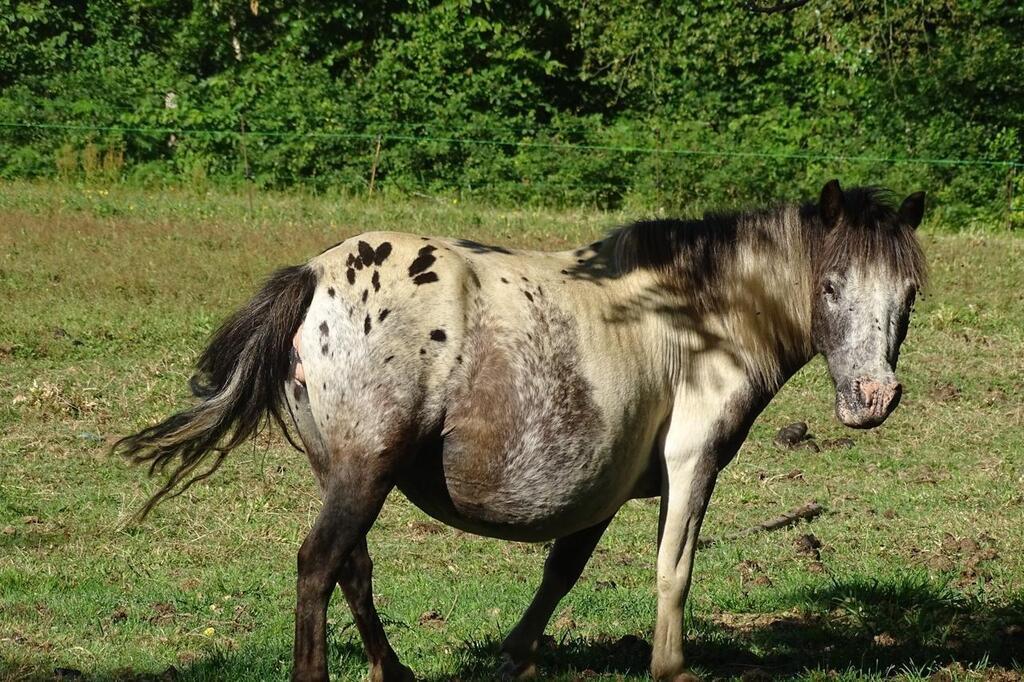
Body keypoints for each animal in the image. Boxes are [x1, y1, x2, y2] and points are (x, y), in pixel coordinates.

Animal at [117, 180, 929, 679]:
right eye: (830, 286)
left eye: (909, 294)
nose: (873, 397)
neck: (700, 317)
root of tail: (315, 275)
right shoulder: (692, 460)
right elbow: (674, 570)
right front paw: (671, 667)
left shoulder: (607, 484)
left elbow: (562, 571)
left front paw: (516, 655)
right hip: (364, 470)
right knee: (319, 566)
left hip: (345, 471)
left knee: (352, 567)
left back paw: (394, 670)